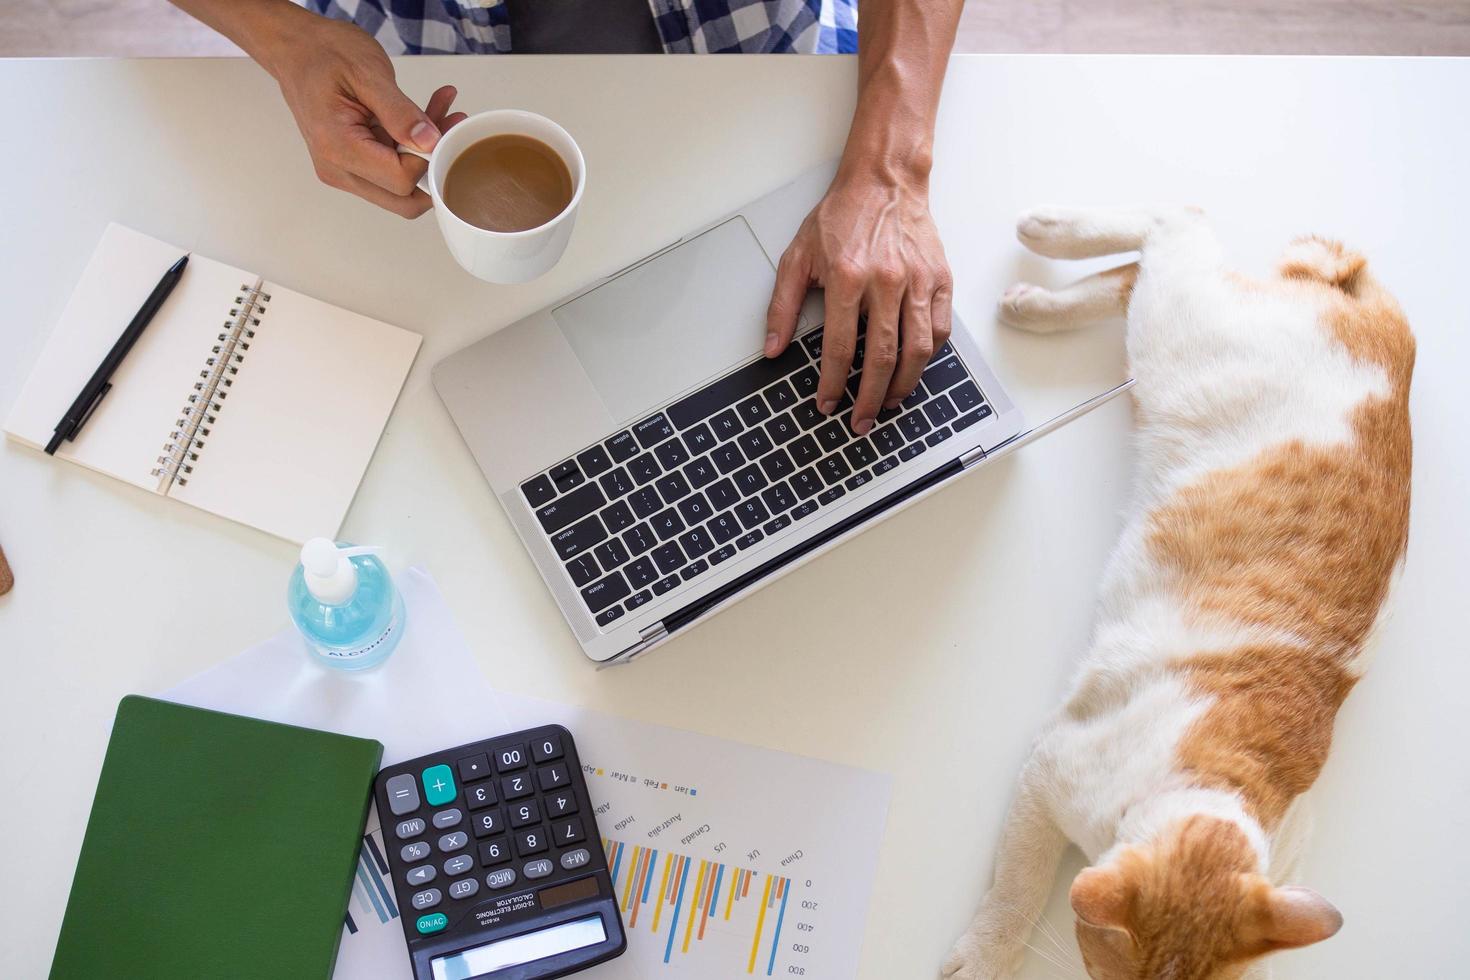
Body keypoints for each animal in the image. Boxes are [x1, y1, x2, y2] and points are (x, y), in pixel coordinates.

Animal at [940, 207, 1411, 980]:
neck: (1211, 782)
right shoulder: (1045, 778)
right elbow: (1017, 891)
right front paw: (983, 957)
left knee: (1140, 269)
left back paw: (1034, 302)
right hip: (1180, 328)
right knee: (1172, 223)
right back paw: (1047, 237)